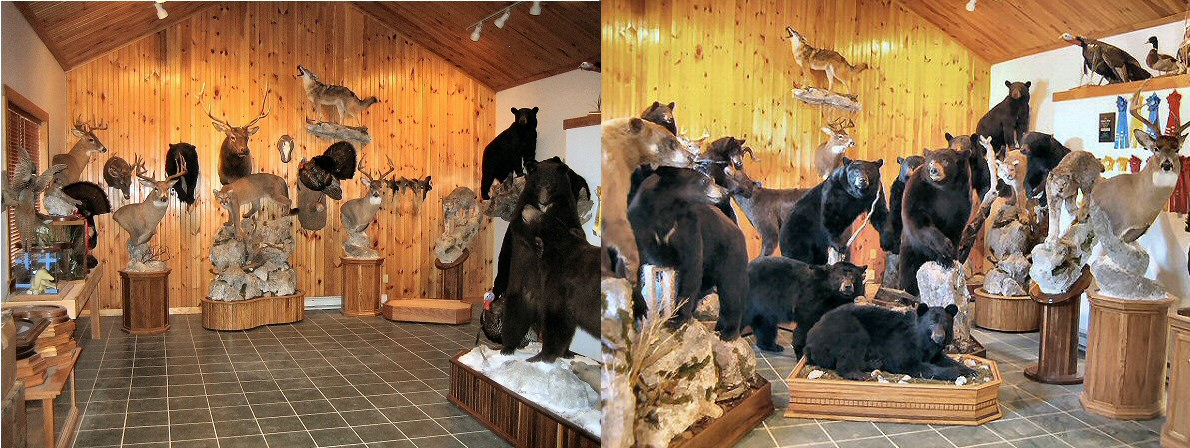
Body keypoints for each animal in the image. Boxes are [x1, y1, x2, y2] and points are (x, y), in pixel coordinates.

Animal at [628, 166, 747, 340]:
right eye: (704, 180)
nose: (726, 191)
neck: (667, 210)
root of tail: (738, 231)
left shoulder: (688, 227)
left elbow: (691, 266)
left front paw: (676, 319)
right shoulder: (639, 225)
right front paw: (640, 309)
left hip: (729, 255)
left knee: (730, 290)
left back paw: (728, 332)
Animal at [804, 303, 976, 381]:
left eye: (945, 323)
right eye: (931, 323)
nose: (939, 337)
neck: (924, 341)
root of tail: (810, 340)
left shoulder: (933, 351)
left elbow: (943, 358)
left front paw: (969, 369)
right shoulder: (902, 342)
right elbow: (907, 363)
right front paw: (953, 372)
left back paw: (874, 364)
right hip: (845, 328)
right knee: (851, 349)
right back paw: (858, 373)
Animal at [898, 148, 972, 295]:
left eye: (945, 161)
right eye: (931, 161)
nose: (933, 170)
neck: (944, 188)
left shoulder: (962, 198)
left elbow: (956, 226)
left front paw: (946, 259)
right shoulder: (917, 188)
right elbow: (917, 218)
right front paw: (944, 245)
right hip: (911, 248)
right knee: (907, 273)